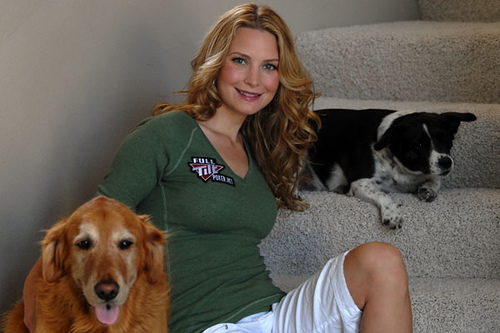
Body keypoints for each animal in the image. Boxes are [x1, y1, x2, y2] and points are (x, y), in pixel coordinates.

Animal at [300, 109, 476, 228]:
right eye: (418, 145)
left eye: (446, 139)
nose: (446, 162)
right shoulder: (360, 183)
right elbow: (383, 194)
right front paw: (392, 214)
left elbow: (435, 179)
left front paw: (428, 189)